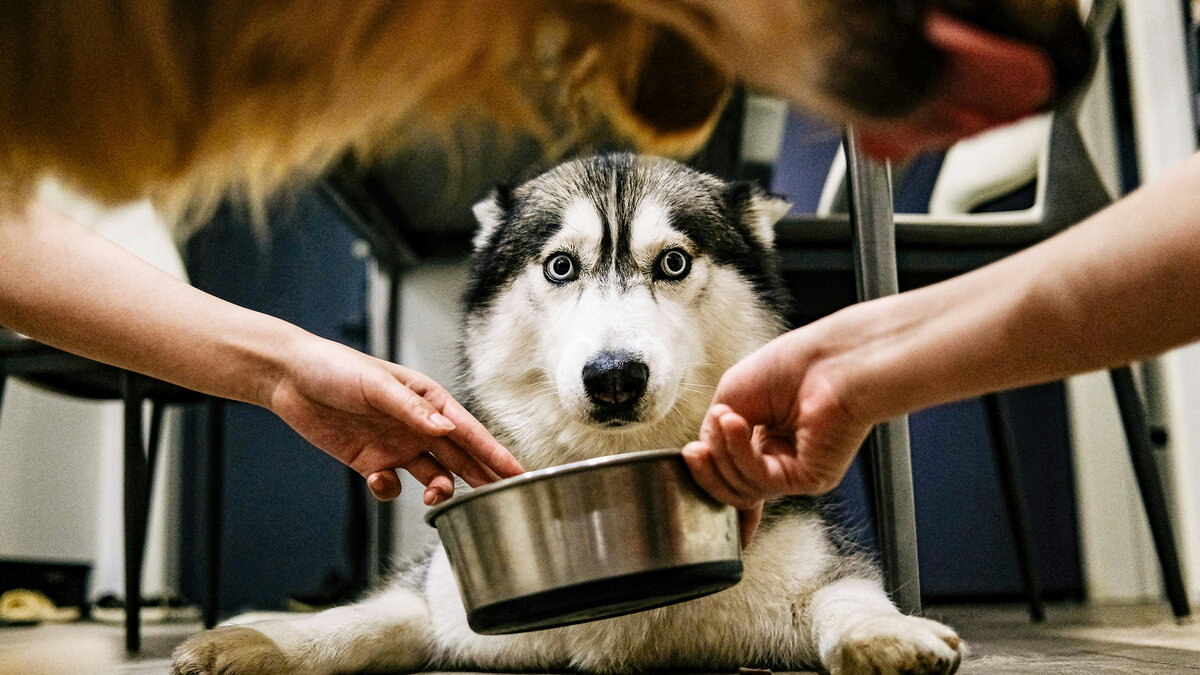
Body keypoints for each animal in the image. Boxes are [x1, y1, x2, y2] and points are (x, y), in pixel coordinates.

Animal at [171, 153, 964, 672]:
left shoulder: (814, 570)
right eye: (560, 265)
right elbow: (361, 618)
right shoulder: (439, 600)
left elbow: (849, 595)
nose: (614, 377)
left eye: (674, 262)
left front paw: (888, 634)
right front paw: (262, 642)